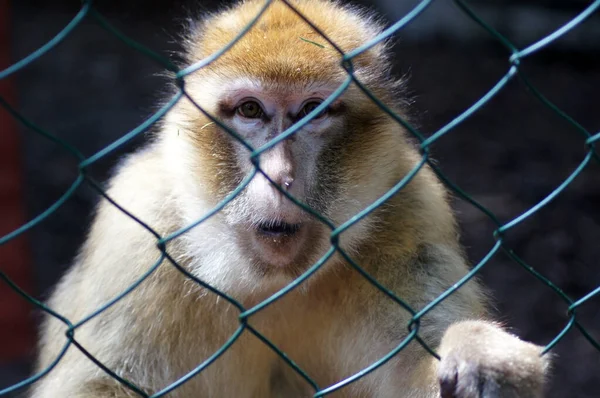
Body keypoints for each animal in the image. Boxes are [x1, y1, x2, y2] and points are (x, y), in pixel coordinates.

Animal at [30, 0, 552, 396]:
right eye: (250, 110)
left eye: (311, 111)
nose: (278, 176)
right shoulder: (141, 230)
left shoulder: (412, 212)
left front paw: (483, 358)